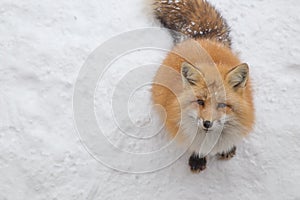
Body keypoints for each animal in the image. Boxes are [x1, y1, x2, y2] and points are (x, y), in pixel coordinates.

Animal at [151, 0, 254, 173]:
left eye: (222, 105)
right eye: (200, 102)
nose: (207, 123)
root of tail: (203, 38)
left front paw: (227, 149)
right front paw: (198, 158)